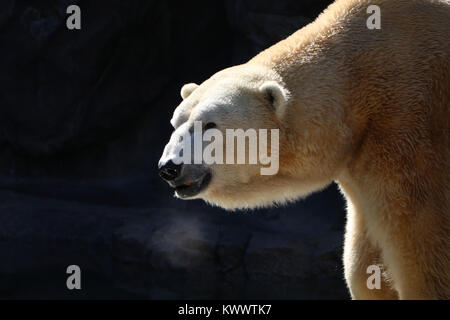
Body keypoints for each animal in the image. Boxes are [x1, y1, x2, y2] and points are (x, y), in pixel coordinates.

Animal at [159, 0, 450, 300]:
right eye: (176, 123)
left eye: (210, 125)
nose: (169, 167)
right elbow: (364, 267)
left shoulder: (409, 134)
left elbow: (424, 258)